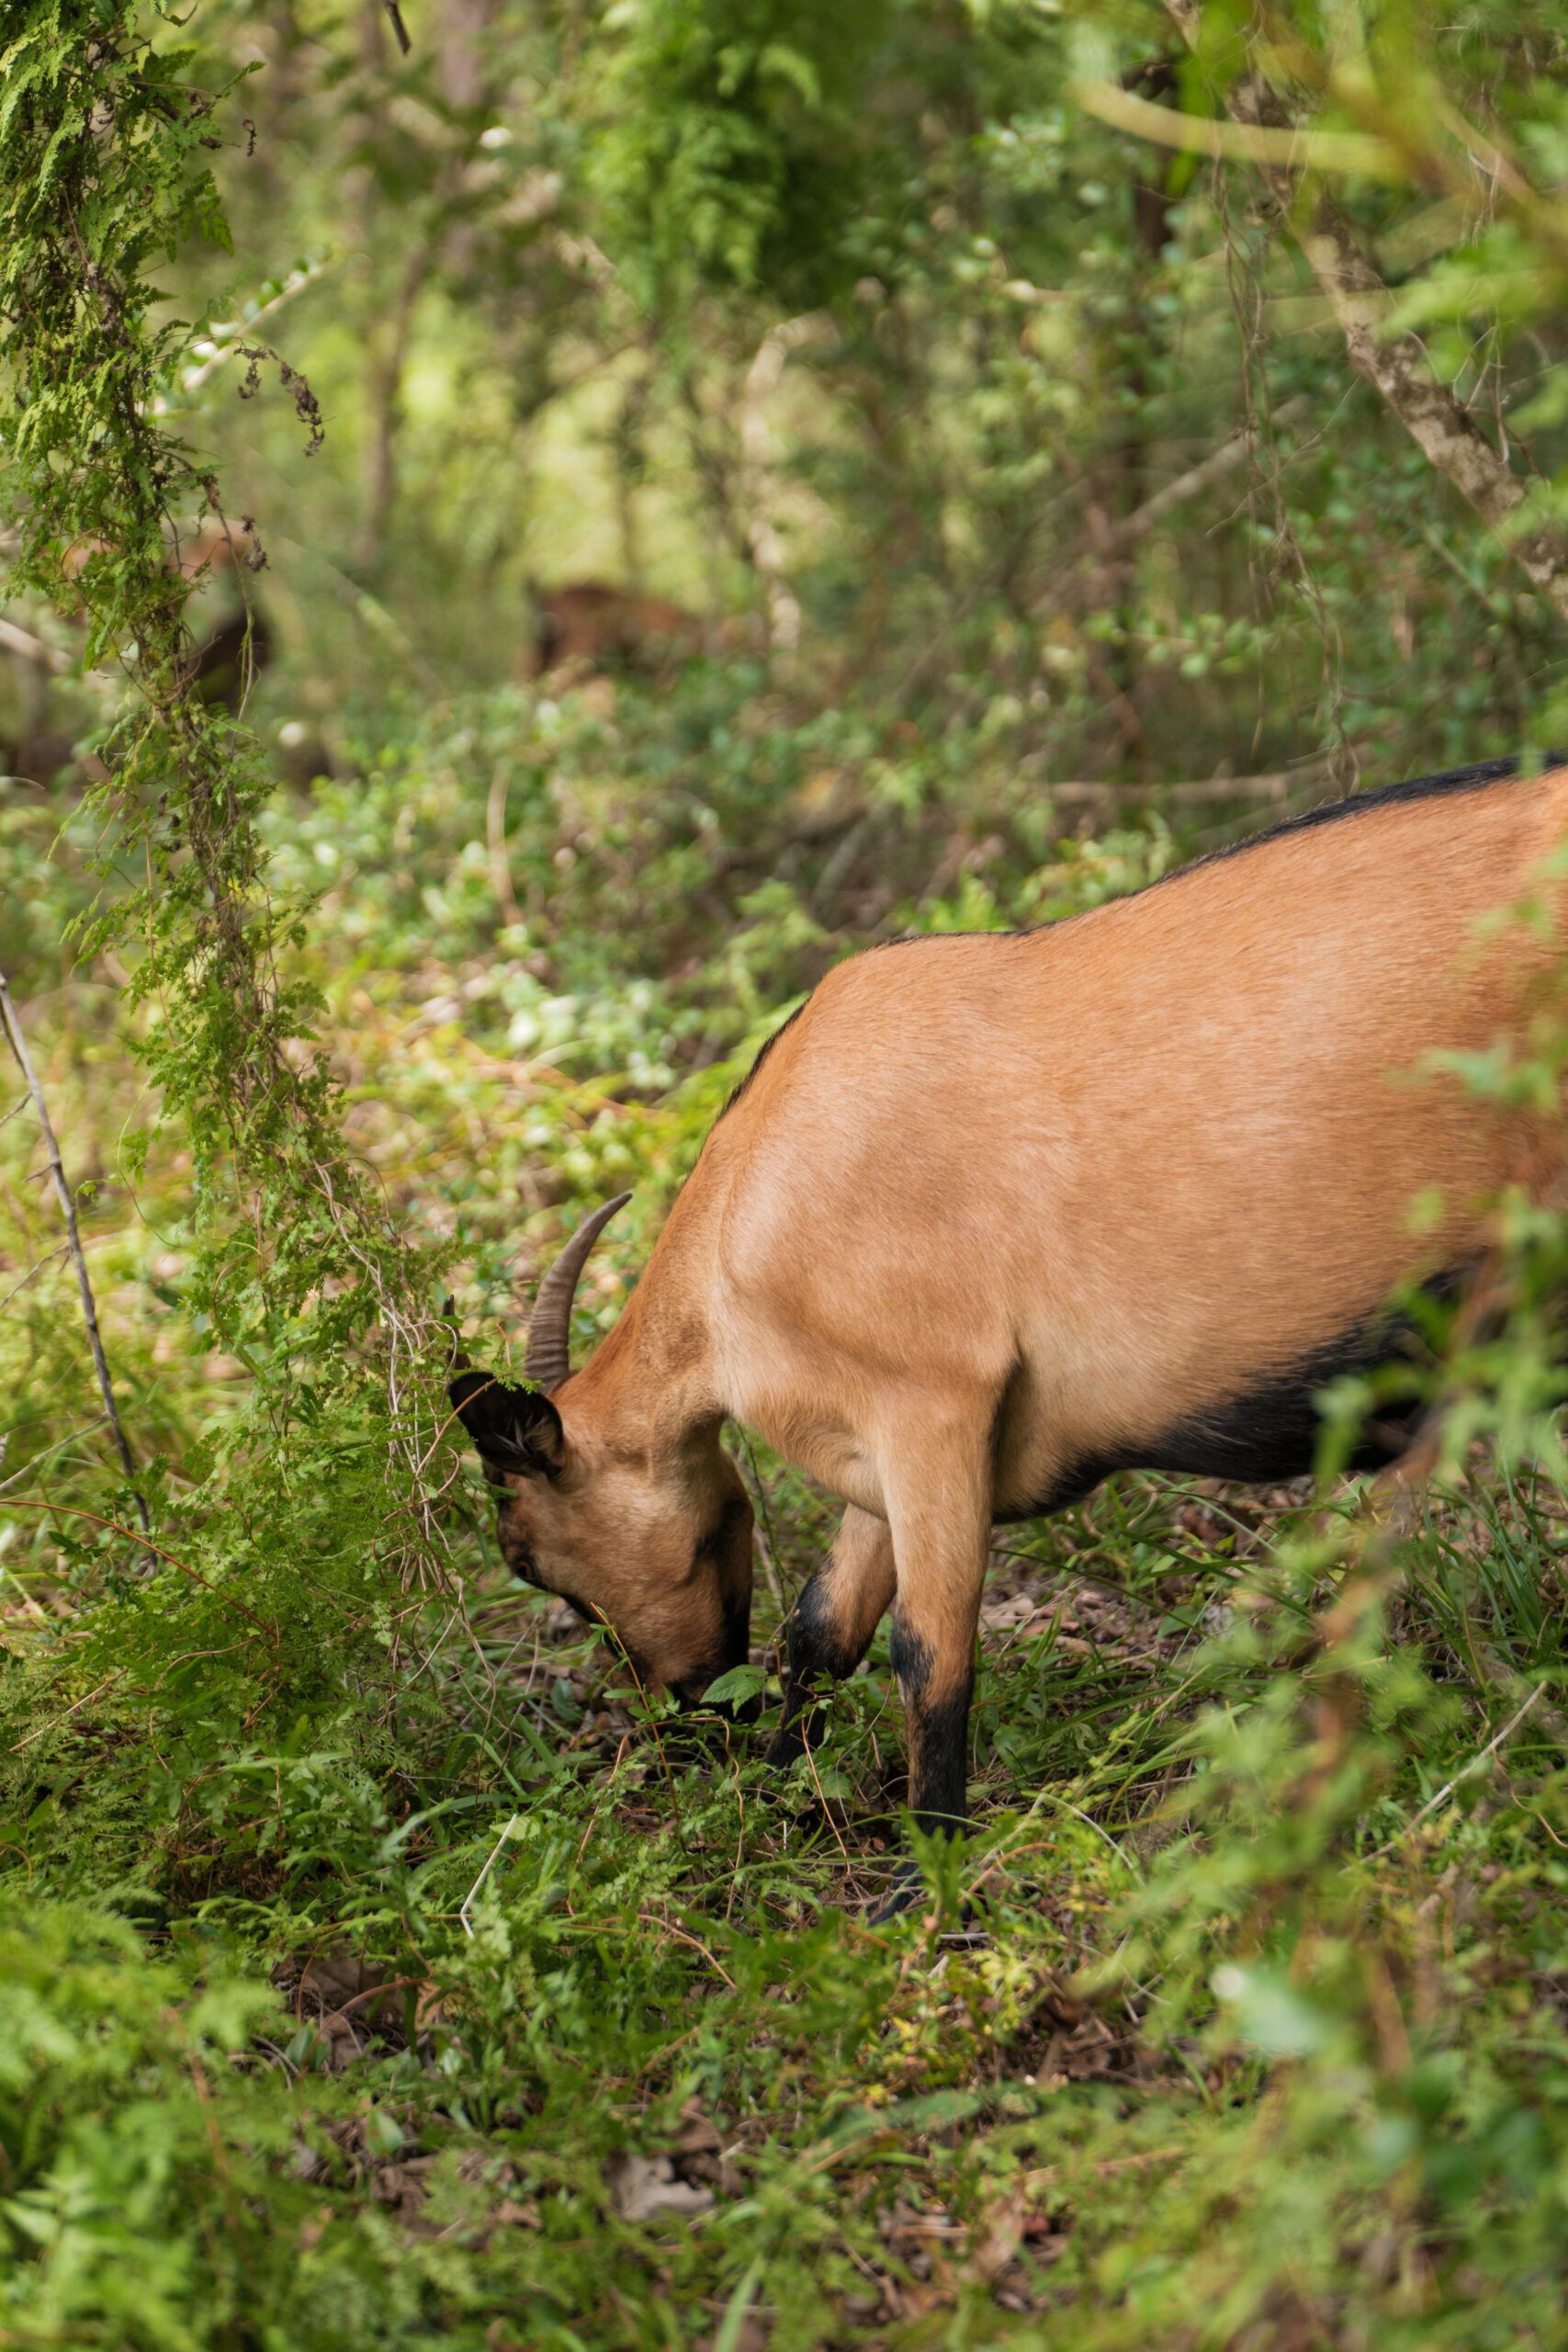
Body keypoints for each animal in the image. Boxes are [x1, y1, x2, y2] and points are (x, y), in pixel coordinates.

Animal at [450, 756, 1568, 1884]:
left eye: (532, 1561)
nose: (688, 1720)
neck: (748, 1208)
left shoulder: (935, 1402)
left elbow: (928, 1650)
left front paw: (928, 1875)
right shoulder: (878, 1442)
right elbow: (823, 1625)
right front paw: (776, 1796)